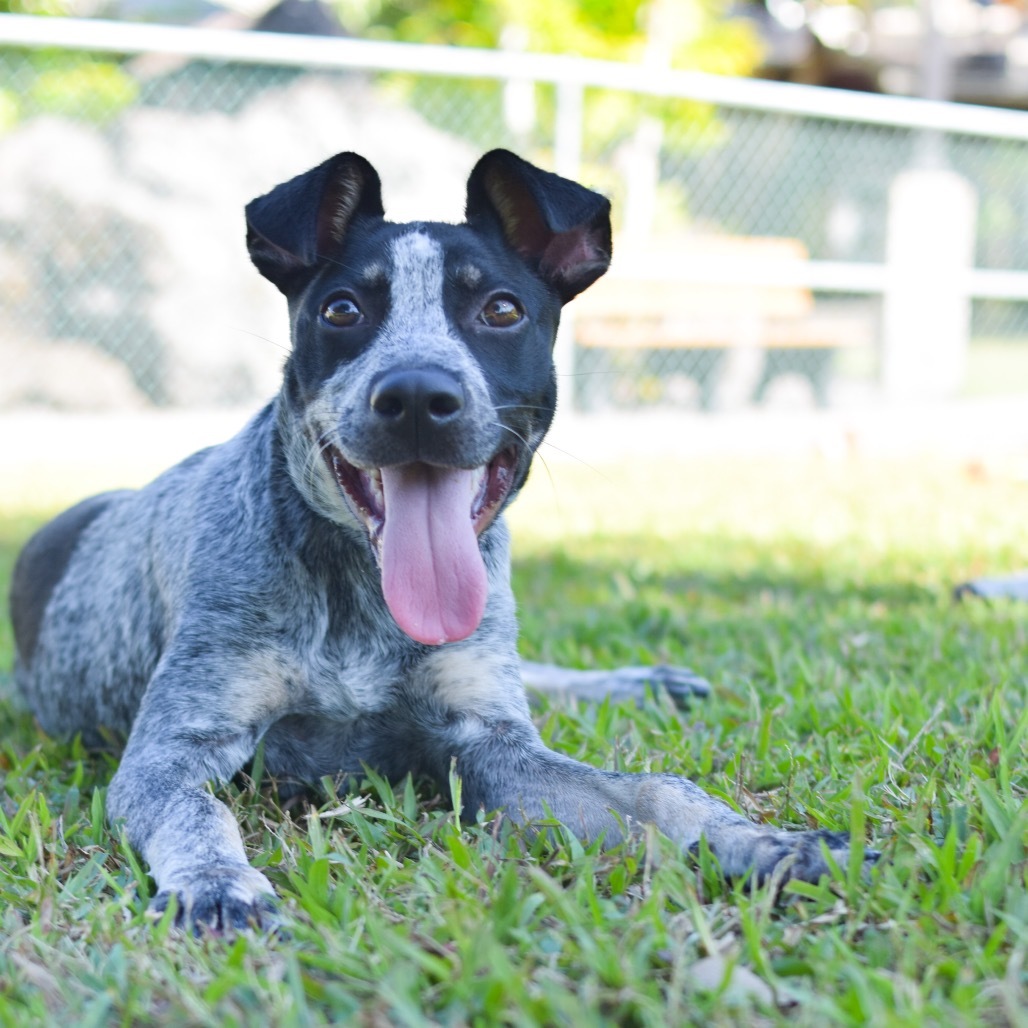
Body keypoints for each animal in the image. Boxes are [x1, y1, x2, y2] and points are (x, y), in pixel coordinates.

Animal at [8, 150, 875, 933]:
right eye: (342, 311)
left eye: (501, 310)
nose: (419, 396)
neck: (359, 594)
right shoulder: (171, 750)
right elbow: (198, 813)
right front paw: (216, 884)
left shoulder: (490, 744)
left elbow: (656, 788)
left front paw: (762, 841)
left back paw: (639, 682)